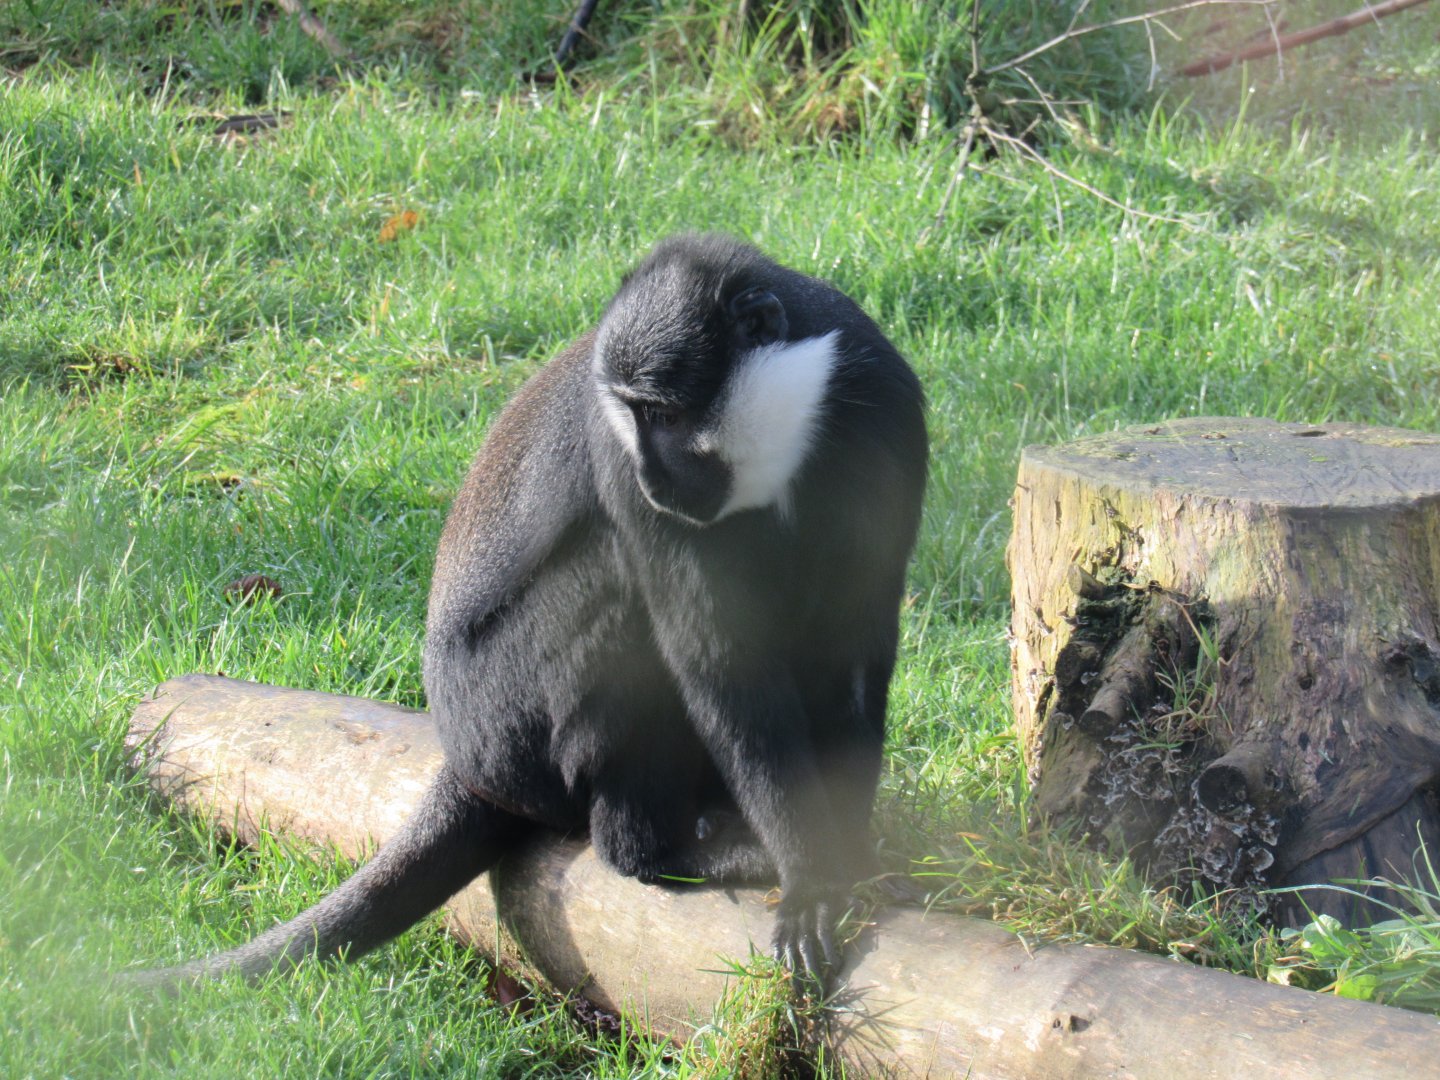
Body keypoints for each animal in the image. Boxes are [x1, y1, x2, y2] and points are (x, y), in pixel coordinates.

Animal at [140, 233, 927, 989]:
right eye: (632, 413)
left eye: (666, 412)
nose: (652, 478)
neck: (790, 409)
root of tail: (468, 760)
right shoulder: (618, 459)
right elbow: (722, 661)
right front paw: (812, 877)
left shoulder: (884, 404)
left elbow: (854, 645)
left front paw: (849, 852)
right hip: (515, 730)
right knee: (619, 587)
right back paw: (654, 849)